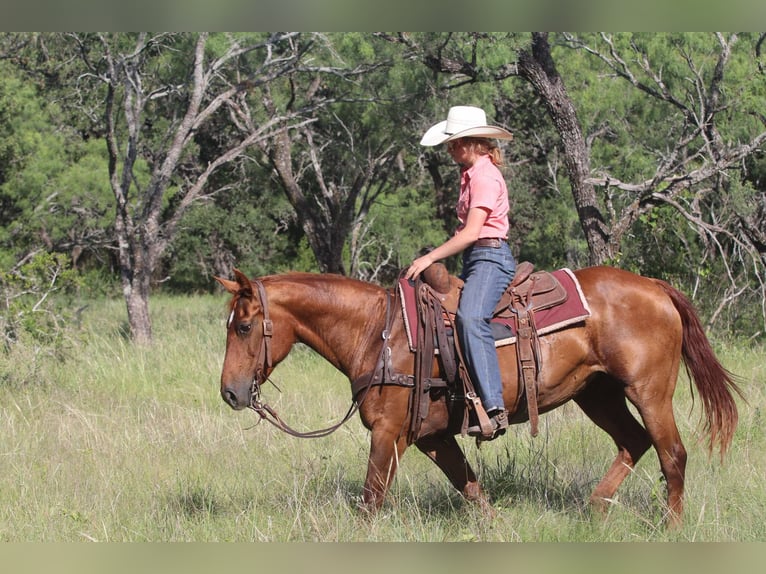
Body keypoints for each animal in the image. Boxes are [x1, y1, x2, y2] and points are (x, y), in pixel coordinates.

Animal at [215, 265, 742, 527]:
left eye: (243, 327)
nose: (230, 393)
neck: (377, 333)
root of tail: (653, 286)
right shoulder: (432, 438)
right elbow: (471, 490)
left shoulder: (387, 434)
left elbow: (370, 501)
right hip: (597, 395)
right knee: (634, 441)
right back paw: (594, 511)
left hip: (648, 392)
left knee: (672, 454)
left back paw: (669, 530)